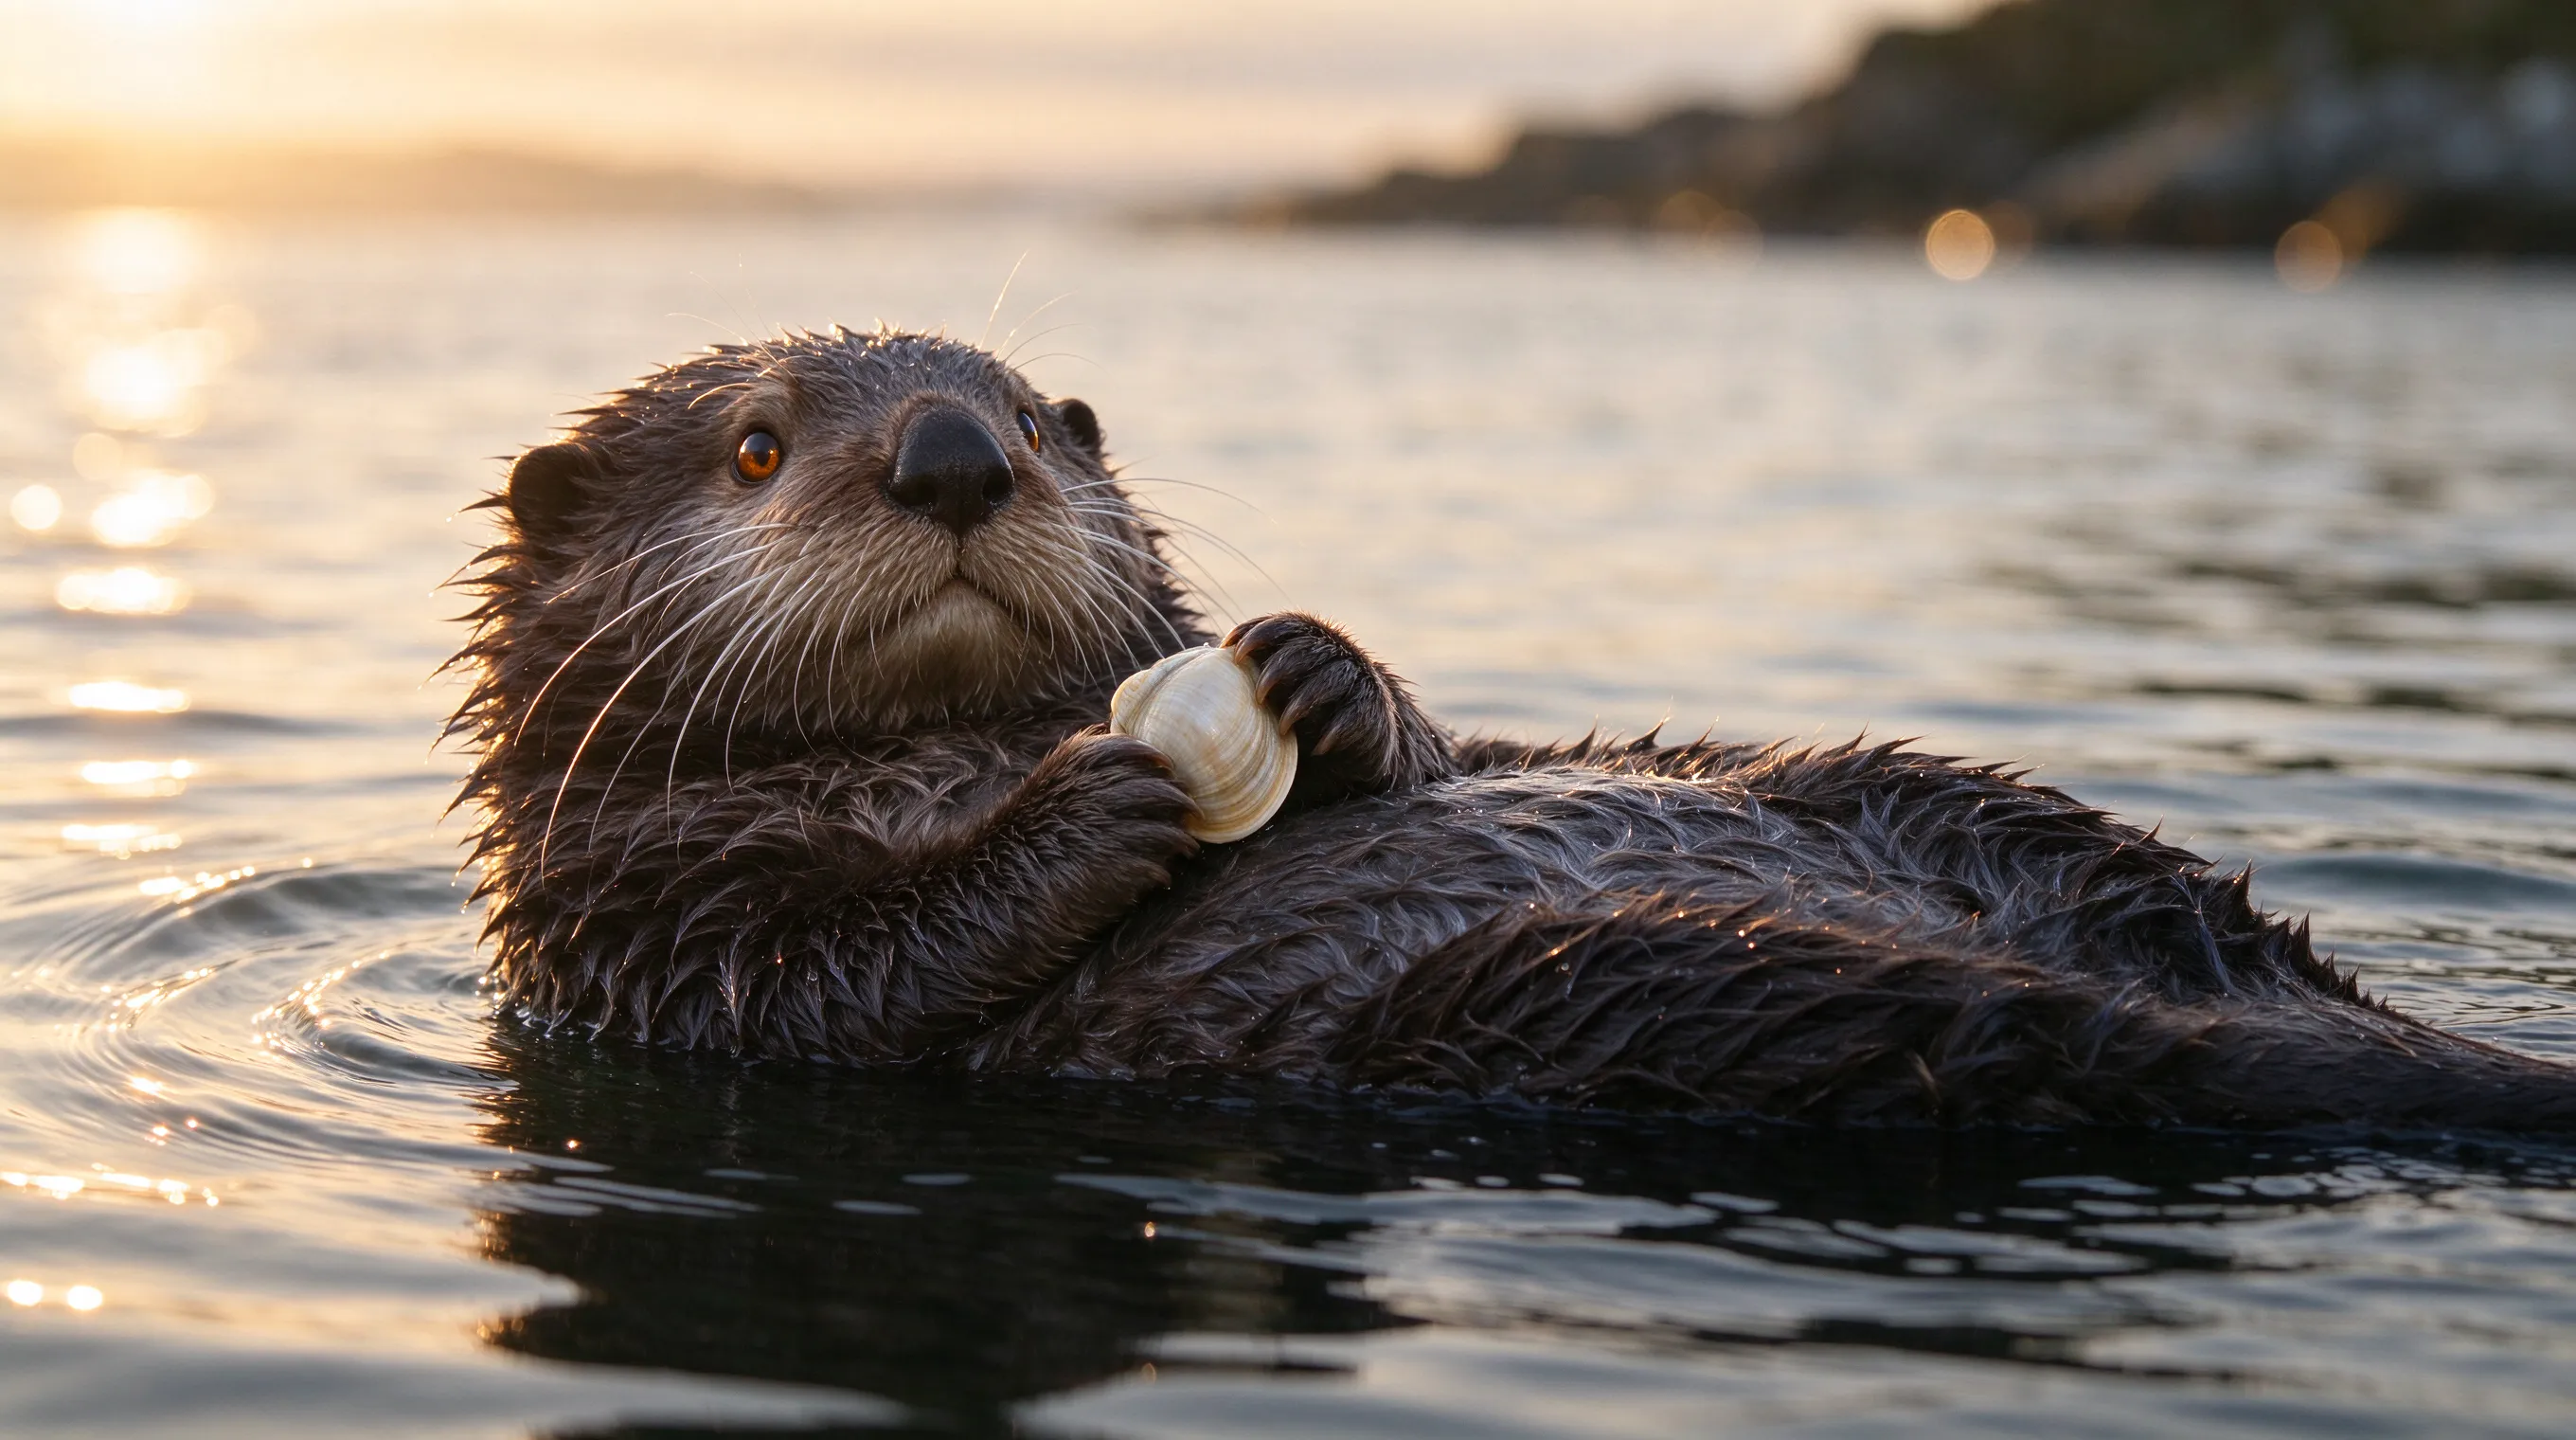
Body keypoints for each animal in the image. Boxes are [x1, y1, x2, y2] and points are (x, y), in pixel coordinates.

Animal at [451, 328, 2576, 1129]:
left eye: (1048, 418)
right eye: (754, 444)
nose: (958, 454)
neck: (926, 760)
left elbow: (1442, 749)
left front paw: (1318, 675)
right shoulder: (642, 931)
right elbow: (846, 973)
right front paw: (1096, 798)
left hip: (1931, 790)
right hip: (1583, 992)